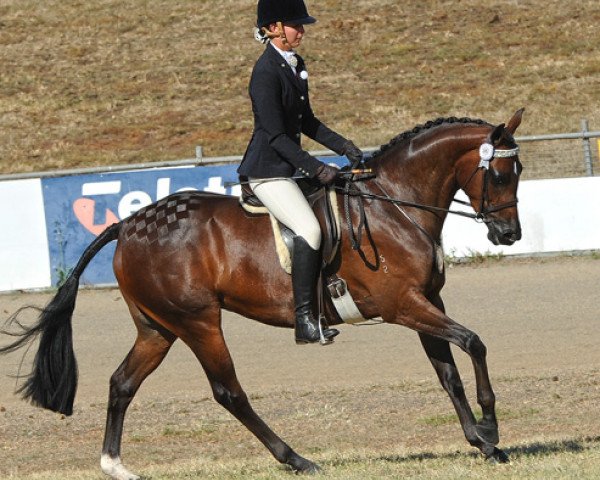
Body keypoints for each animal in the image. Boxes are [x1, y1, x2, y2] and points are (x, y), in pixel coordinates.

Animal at [0, 109, 524, 480]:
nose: (509, 235)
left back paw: (116, 466)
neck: (393, 205)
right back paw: (296, 458)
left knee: (122, 383)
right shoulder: (402, 305)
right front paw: (491, 428)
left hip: (157, 327)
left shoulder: (425, 302)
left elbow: (448, 373)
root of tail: (127, 224)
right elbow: (473, 343)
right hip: (198, 321)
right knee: (228, 391)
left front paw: (482, 443)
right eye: (501, 175)